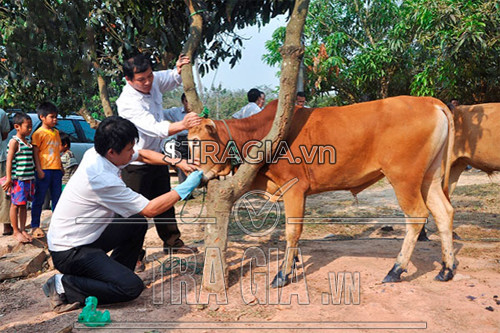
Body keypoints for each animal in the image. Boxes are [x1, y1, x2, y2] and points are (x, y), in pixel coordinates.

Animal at [189, 95, 456, 286]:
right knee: (444, 212)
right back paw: (447, 268)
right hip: (429, 177)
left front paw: (282, 275)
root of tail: (429, 101)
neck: (262, 135)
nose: (194, 173)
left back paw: (396, 270)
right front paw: (292, 264)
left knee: (417, 216)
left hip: (404, 178)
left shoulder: (294, 187)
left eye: (197, 142)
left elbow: (292, 231)